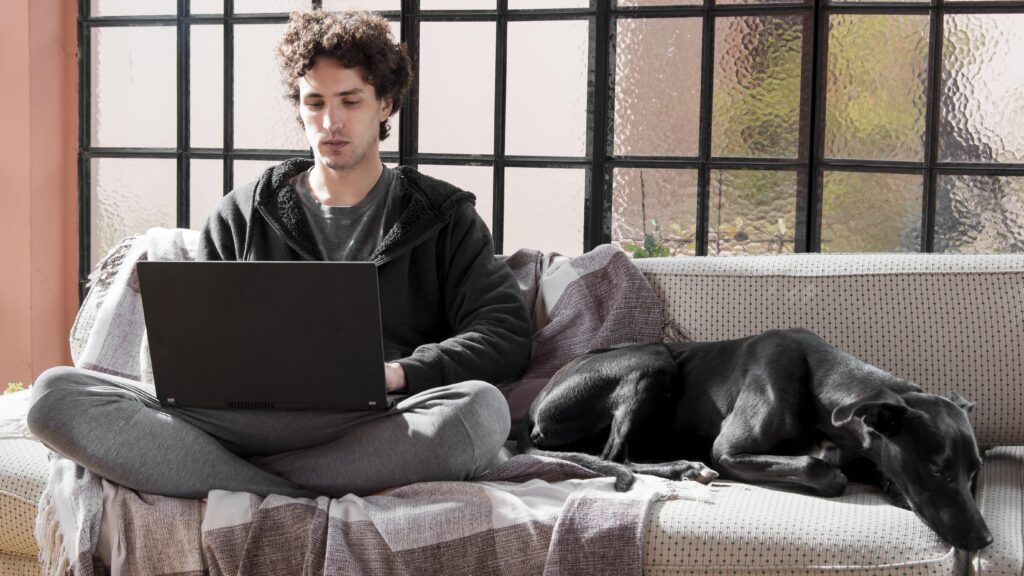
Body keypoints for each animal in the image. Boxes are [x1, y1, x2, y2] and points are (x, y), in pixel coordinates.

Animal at [520, 325, 991, 549]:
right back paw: (686, 467)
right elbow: (821, 469)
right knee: (618, 455)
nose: (985, 540)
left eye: (975, 472)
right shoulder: (729, 452)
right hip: (652, 359)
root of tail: (533, 411)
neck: (820, 384)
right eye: (939, 470)